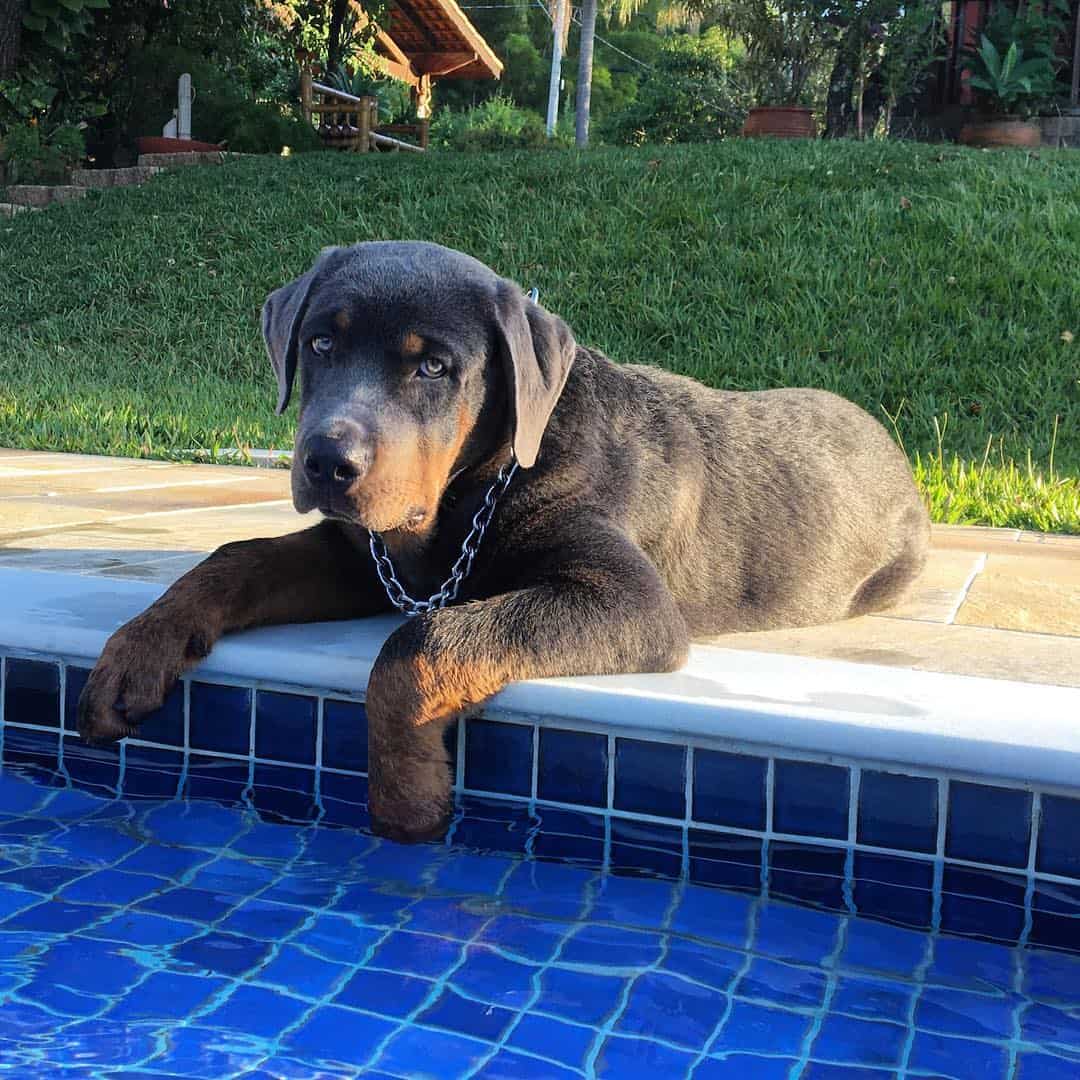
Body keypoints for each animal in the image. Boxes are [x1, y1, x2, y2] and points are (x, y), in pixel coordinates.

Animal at [79, 240, 933, 838]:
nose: (327, 462)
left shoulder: (631, 598)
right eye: (321, 344)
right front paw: (138, 648)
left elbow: (421, 643)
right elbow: (238, 557)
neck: (467, 501)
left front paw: (407, 795)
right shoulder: (360, 556)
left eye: (433, 366)